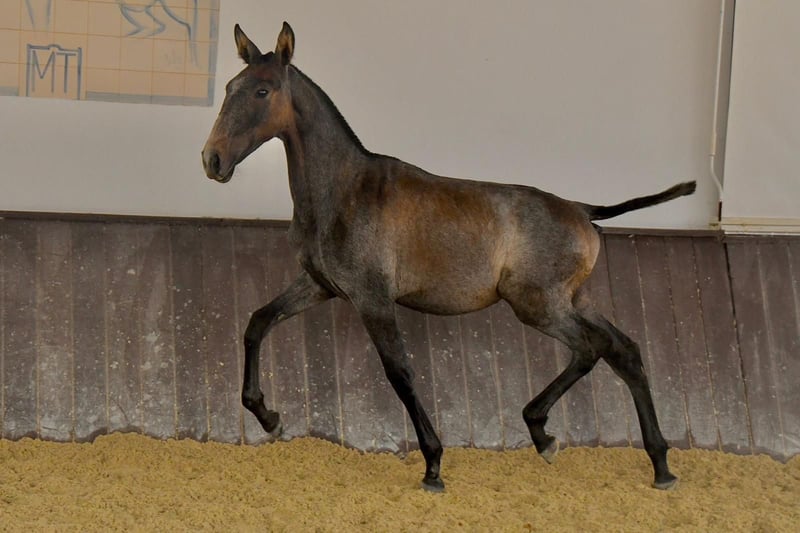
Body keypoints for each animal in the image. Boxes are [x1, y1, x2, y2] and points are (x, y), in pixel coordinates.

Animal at [202, 22, 694, 492]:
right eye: (229, 87)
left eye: (263, 91)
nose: (213, 160)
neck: (340, 191)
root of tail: (582, 211)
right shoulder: (320, 286)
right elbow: (258, 322)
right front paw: (268, 417)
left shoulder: (372, 299)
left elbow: (399, 372)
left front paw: (433, 464)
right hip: (573, 301)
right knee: (624, 350)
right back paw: (660, 466)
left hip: (538, 305)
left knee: (591, 348)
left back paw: (543, 433)